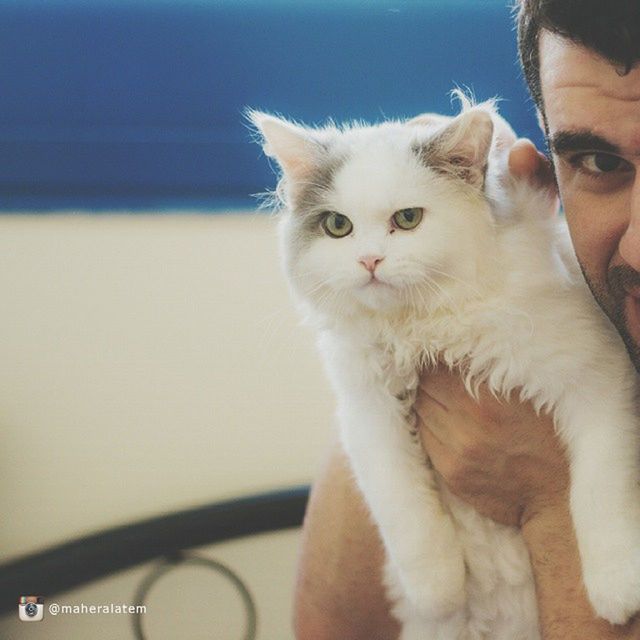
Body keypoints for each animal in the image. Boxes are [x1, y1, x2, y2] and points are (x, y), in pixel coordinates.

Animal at [252, 99, 640, 636]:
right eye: (337, 227)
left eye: (407, 219)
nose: (369, 260)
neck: (424, 330)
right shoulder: (368, 412)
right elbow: (406, 511)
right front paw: (439, 591)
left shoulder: (598, 377)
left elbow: (600, 492)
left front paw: (617, 590)